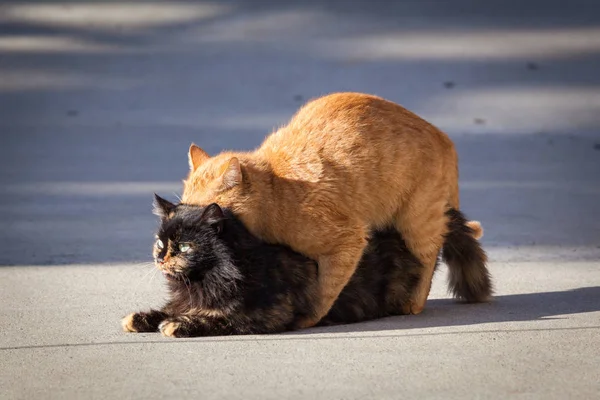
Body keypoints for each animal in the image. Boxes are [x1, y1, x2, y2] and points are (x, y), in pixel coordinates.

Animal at [122, 195, 488, 338]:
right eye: (160, 243)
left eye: (185, 246)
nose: (161, 258)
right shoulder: (184, 299)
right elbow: (166, 309)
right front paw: (139, 318)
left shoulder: (266, 314)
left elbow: (214, 319)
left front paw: (175, 325)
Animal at [180, 90, 490, 324]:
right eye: (183, 206)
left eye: (205, 211)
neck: (277, 189)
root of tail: (444, 137)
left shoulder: (348, 240)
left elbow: (323, 292)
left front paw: (307, 319)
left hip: (416, 221)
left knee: (429, 256)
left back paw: (413, 302)